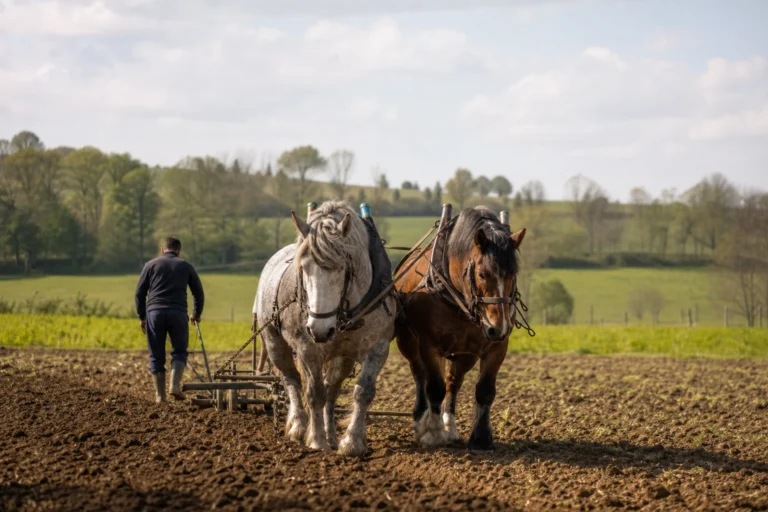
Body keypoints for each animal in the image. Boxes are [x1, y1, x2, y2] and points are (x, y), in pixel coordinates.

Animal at [254, 200, 396, 456]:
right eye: (303, 268)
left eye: (342, 267)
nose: (320, 330)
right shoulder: (307, 349)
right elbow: (314, 394)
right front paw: (317, 439)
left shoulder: (378, 347)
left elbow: (363, 392)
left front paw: (352, 442)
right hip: (274, 343)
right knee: (291, 380)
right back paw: (299, 426)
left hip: (343, 357)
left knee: (332, 390)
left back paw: (331, 435)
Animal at [394, 206, 525, 450]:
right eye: (482, 274)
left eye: (513, 274)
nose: (498, 328)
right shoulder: (428, 345)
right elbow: (434, 388)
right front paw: (433, 433)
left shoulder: (497, 347)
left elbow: (485, 390)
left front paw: (481, 438)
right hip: (407, 341)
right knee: (419, 374)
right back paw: (421, 418)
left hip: (466, 354)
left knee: (453, 383)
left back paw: (449, 425)